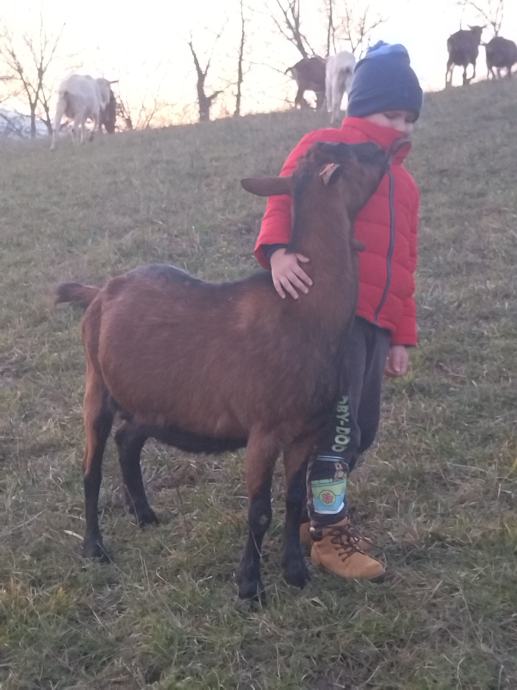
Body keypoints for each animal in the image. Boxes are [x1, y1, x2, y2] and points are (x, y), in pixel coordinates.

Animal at [55, 140, 395, 602]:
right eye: (352, 150)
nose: (385, 146)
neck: (302, 312)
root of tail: (103, 289)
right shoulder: (264, 430)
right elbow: (259, 511)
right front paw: (250, 587)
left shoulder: (305, 430)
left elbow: (292, 499)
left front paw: (295, 572)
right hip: (96, 386)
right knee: (91, 468)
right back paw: (94, 547)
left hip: (154, 400)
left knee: (128, 441)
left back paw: (145, 515)